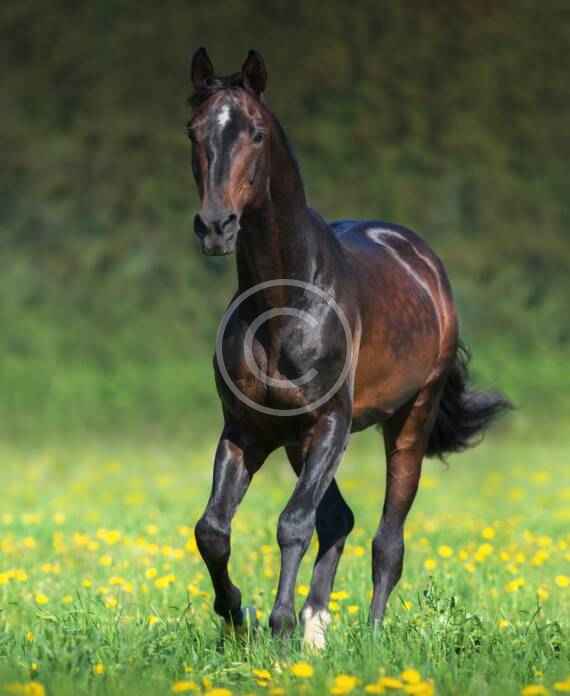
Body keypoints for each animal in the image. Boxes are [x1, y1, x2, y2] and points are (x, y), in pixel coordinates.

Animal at [188, 47, 511, 649]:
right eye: (194, 130)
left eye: (256, 133)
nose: (216, 226)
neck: (284, 303)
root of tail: (421, 259)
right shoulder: (247, 430)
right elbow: (213, 530)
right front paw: (240, 617)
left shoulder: (331, 422)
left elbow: (293, 522)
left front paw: (279, 625)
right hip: (299, 441)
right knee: (338, 518)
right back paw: (316, 625)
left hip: (408, 420)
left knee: (388, 538)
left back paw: (371, 633)